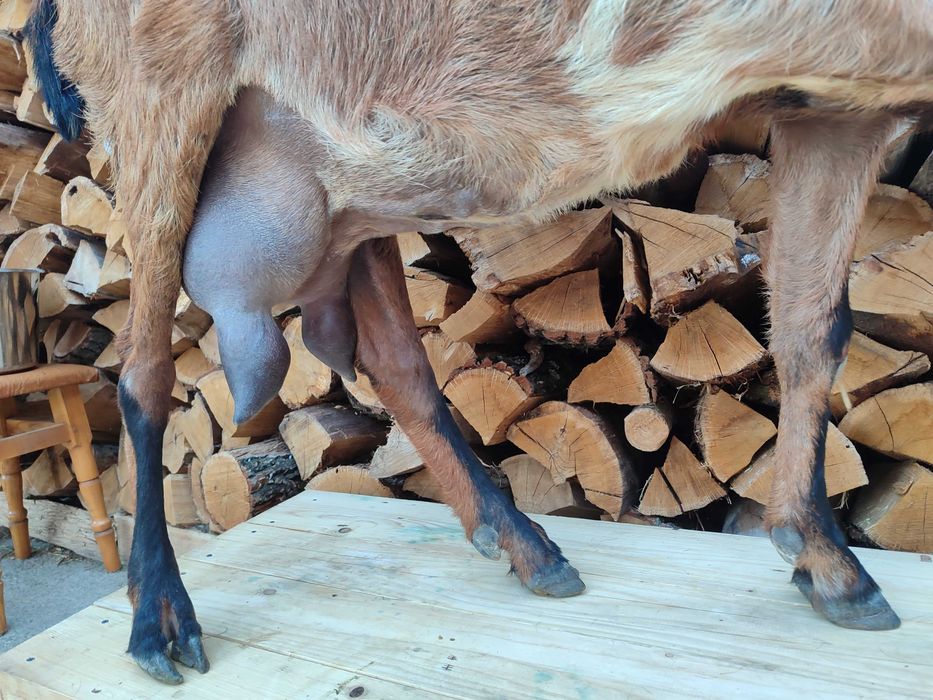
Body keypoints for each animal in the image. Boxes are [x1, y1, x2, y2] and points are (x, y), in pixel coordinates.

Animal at [28, 0, 932, 685]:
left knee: (388, 357)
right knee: (142, 368)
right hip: (163, 97)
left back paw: (523, 544)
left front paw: (825, 562)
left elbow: (813, 327)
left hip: (348, 179)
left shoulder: (834, 110)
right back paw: (159, 621)